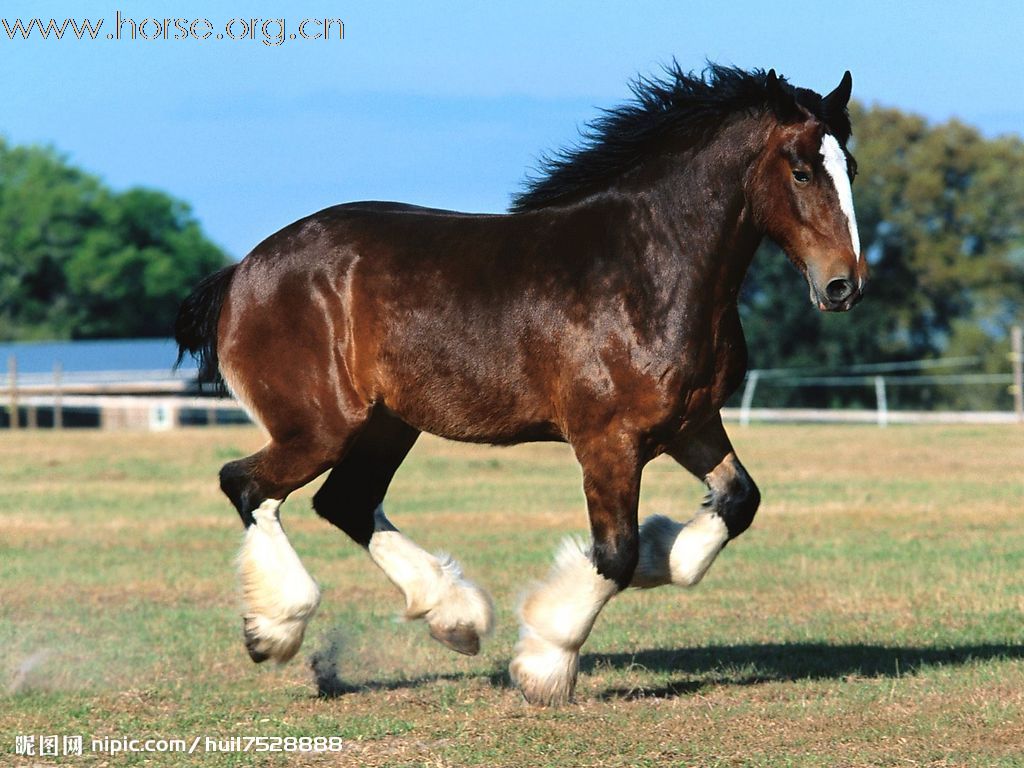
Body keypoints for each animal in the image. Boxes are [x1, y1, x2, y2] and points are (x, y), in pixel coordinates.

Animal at [174, 63, 864, 708]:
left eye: (849, 164)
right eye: (802, 171)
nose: (843, 286)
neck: (649, 271)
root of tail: (243, 273)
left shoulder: (691, 424)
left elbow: (735, 502)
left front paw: (661, 551)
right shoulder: (607, 441)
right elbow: (614, 554)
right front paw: (545, 664)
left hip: (386, 426)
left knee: (343, 501)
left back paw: (454, 616)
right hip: (322, 427)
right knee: (248, 485)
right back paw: (274, 629)